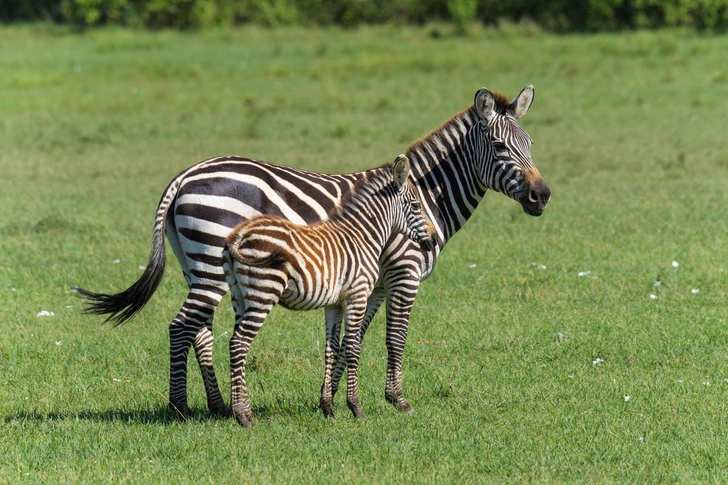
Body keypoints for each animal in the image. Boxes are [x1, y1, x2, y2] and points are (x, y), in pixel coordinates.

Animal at [223, 156, 432, 428]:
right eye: (416, 205)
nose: (432, 240)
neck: (363, 237)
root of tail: (238, 235)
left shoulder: (334, 304)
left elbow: (331, 349)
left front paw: (328, 409)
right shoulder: (357, 296)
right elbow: (353, 348)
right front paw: (356, 408)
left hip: (239, 296)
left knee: (234, 343)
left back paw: (240, 410)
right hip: (264, 291)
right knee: (240, 343)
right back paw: (243, 416)